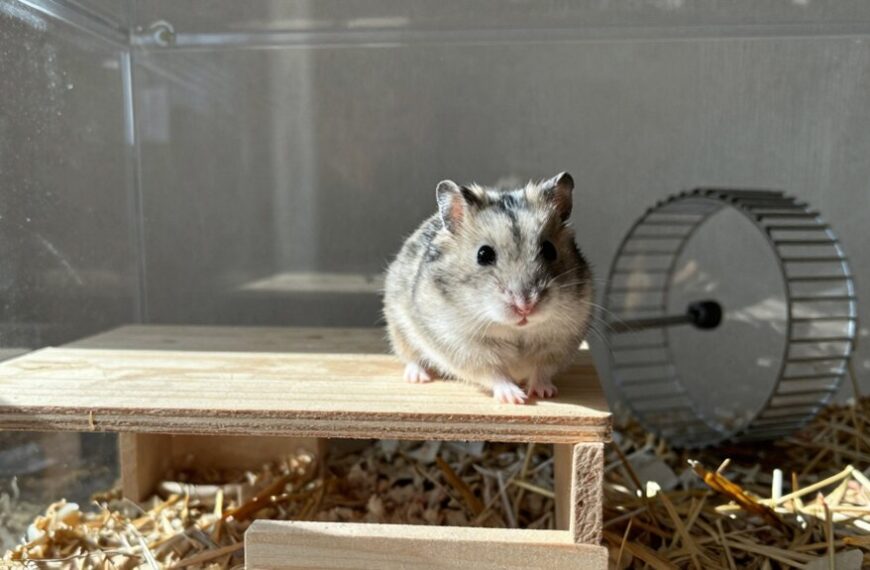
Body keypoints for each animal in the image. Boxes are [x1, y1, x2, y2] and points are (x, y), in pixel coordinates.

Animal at [383, 172, 592, 404]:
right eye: (483, 254)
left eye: (549, 250)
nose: (525, 307)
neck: (517, 331)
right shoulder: (465, 347)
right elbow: (495, 373)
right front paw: (515, 398)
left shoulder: (558, 343)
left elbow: (541, 371)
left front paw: (545, 392)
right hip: (398, 328)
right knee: (410, 356)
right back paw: (419, 377)